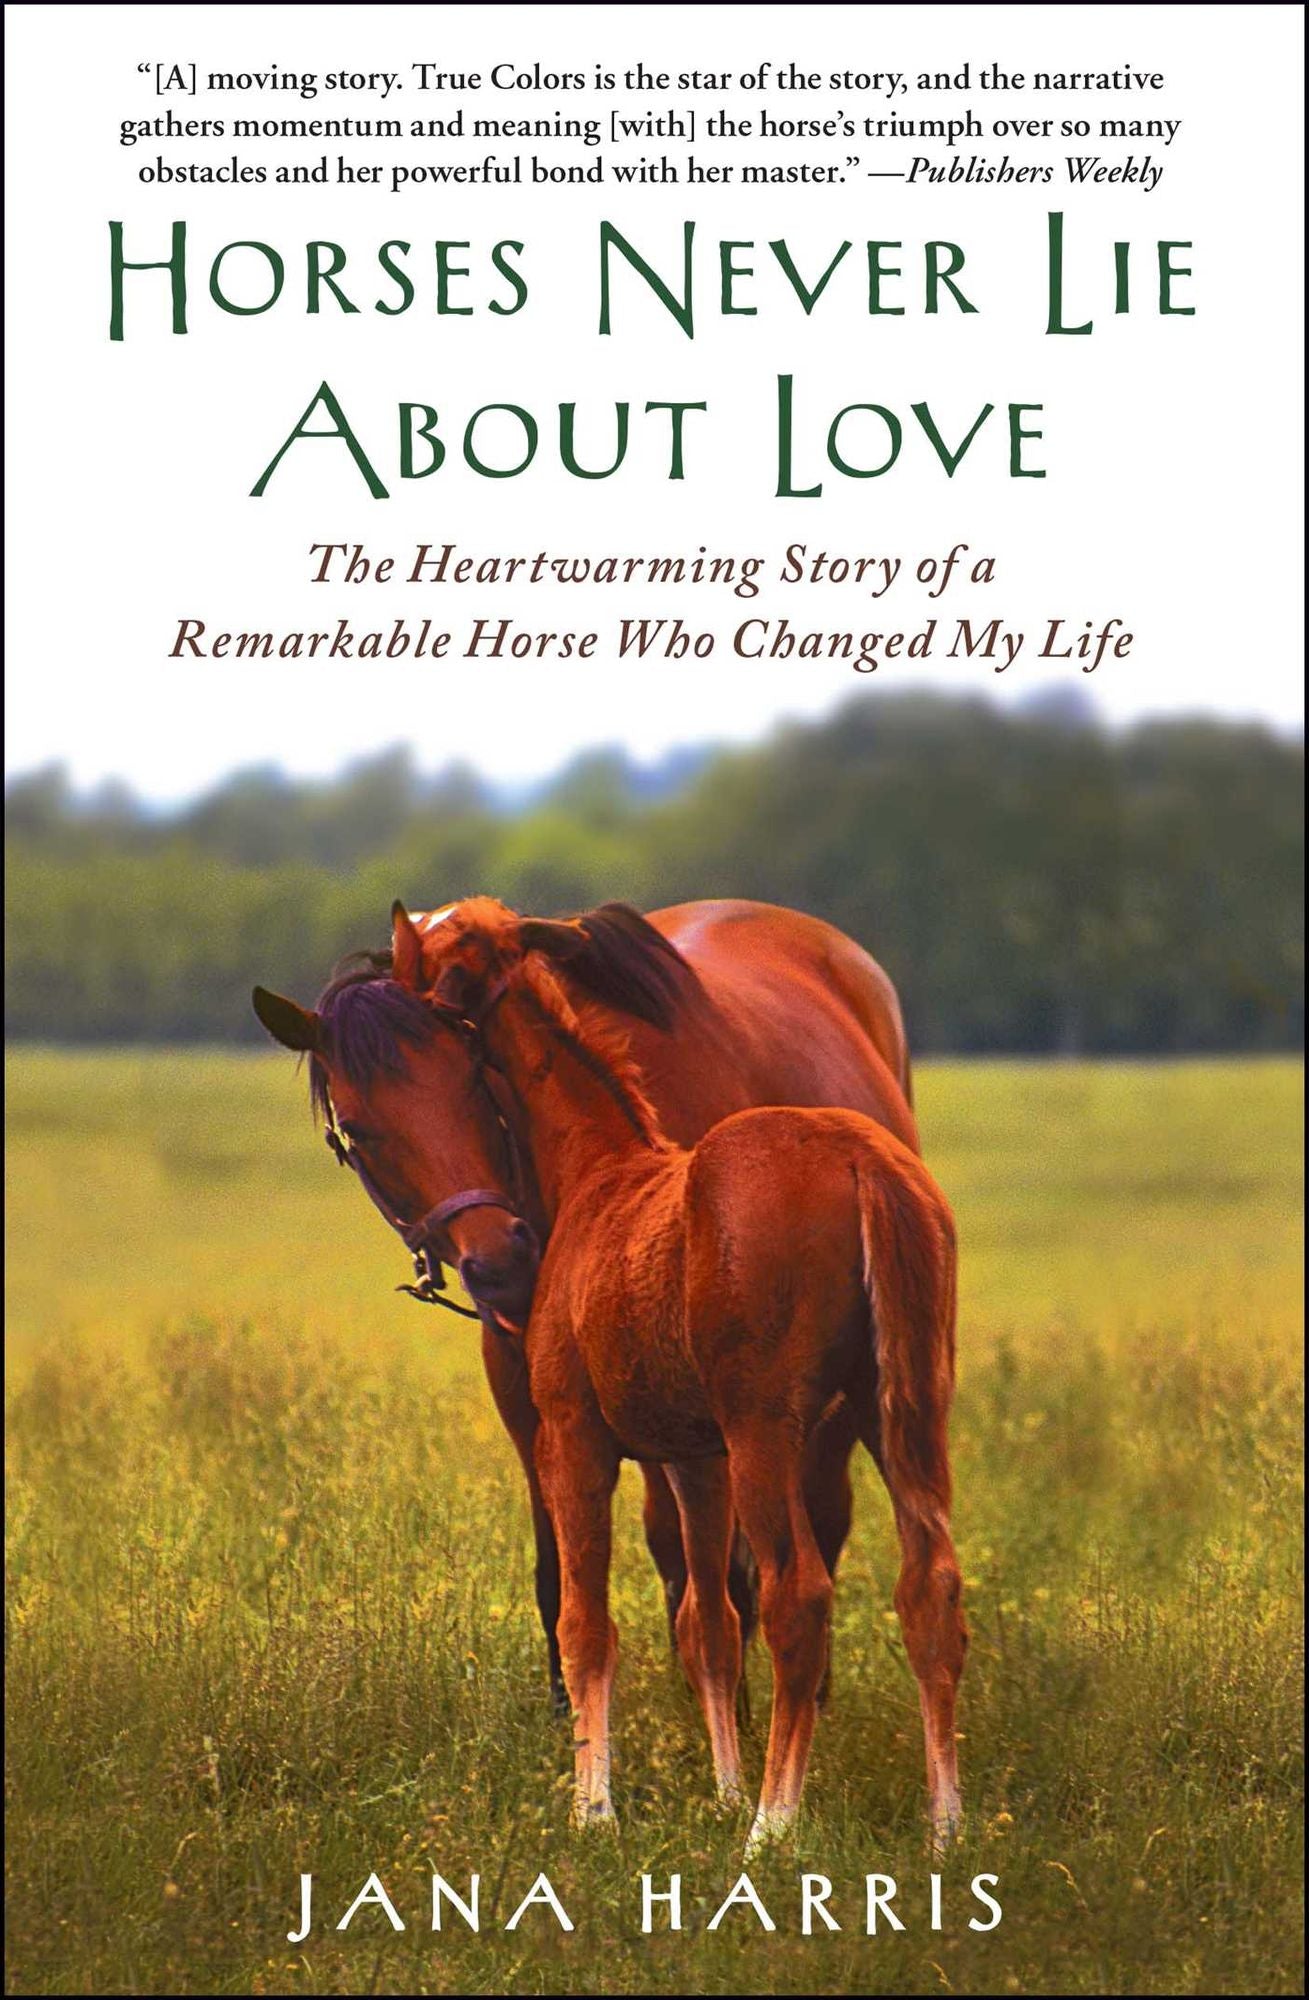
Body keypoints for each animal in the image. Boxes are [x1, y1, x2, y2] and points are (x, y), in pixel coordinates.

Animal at [339, 897, 965, 1851]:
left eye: (426, 953)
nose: (494, 1262)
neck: (600, 1168)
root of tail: (858, 1162)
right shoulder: (692, 1457)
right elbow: (705, 1620)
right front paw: (720, 1788)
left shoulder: (576, 1436)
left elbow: (586, 1620)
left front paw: (592, 1806)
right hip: (904, 1412)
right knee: (928, 1584)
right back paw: (947, 1825)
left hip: (768, 1429)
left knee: (798, 1595)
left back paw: (775, 1825)